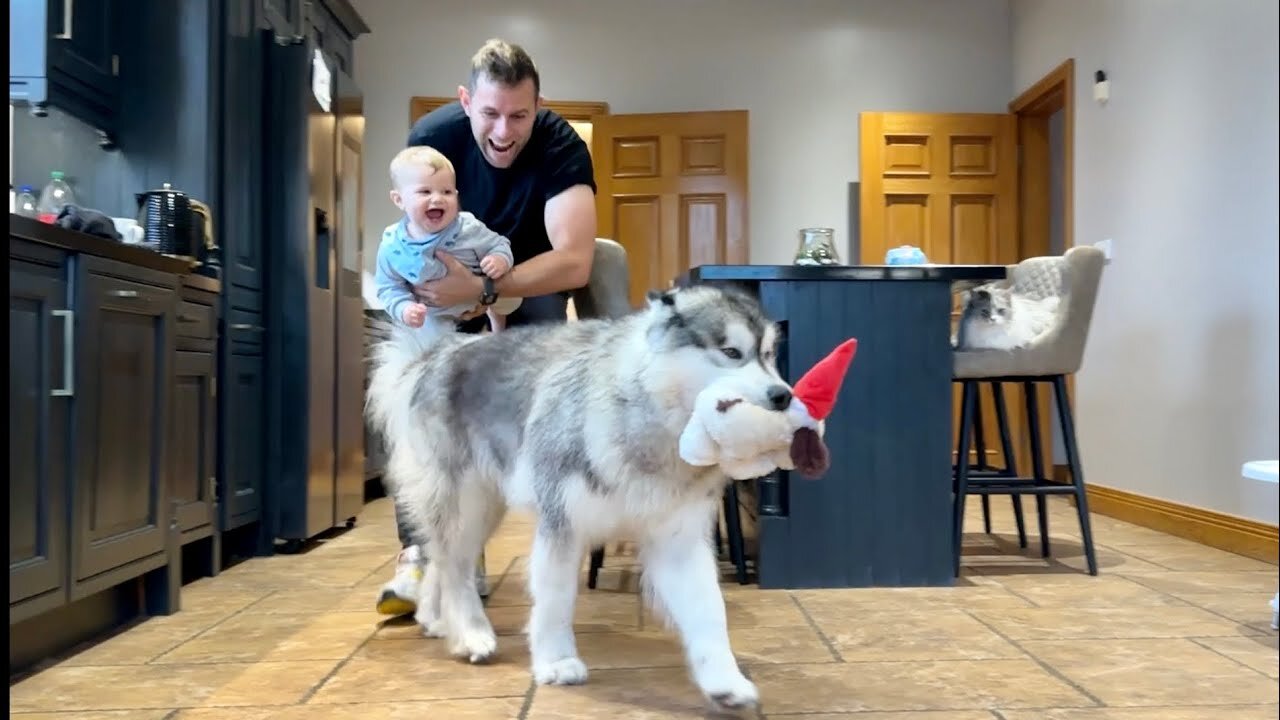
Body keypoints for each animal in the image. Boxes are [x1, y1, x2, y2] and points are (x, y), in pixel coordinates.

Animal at [366, 280, 793, 707]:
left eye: (769, 355)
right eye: (731, 352)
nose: (783, 395)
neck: (648, 418)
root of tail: (435, 355)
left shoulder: (679, 538)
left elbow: (708, 610)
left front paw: (724, 680)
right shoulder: (562, 525)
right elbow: (556, 599)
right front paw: (556, 661)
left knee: (440, 558)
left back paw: (436, 619)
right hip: (467, 503)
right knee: (455, 567)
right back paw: (471, 633)